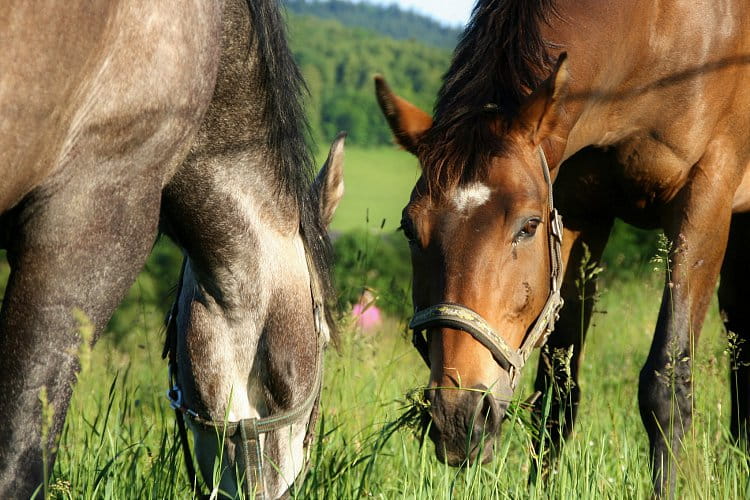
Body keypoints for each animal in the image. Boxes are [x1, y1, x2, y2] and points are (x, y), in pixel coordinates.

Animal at [378, 0, 750, 496]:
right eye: (408, 228)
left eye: (528, 226)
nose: (457, 416)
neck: (660, 29)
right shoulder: (576, 211)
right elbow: (557, 390)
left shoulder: (706, 196)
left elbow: (667, 383)